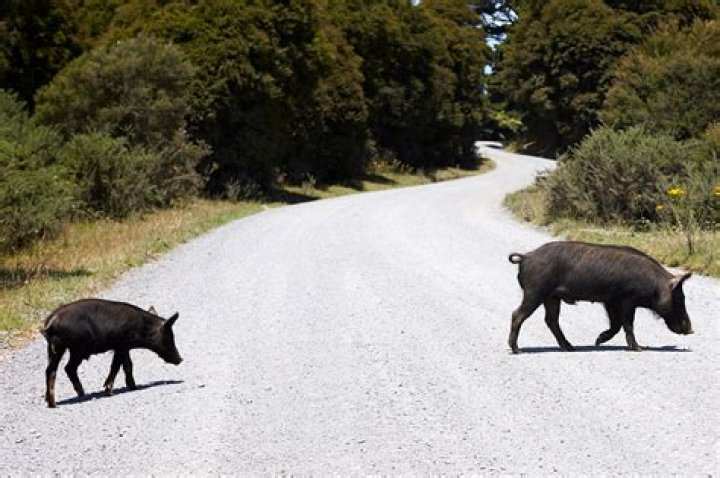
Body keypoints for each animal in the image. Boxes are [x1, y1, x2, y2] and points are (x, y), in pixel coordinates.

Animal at [42, 298, 183, 407]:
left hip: (56, 349)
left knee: (57, 369)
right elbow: (117, 366)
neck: (142, 328)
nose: (180, 359)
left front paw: (133, 386)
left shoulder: (124, 348)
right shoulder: (120, 345)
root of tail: (50, 322)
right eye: (170, 337)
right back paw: (59, 402)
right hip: (71, 349)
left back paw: (67, 398)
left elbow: (127, 365)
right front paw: (109, 392)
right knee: (62, 369)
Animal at [507, 241, 693, 354]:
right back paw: (517, 350)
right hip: (535, 291)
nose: (691, 330)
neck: (655, 285)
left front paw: (597, 341)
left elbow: (616, 325)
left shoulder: (610, 302)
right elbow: (627, 324)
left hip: (551, 297)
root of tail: (526, 257)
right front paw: (638, 349)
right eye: (680, 298)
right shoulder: (627, 301)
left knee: (551, 320)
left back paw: (570, 348)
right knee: (517, 314)